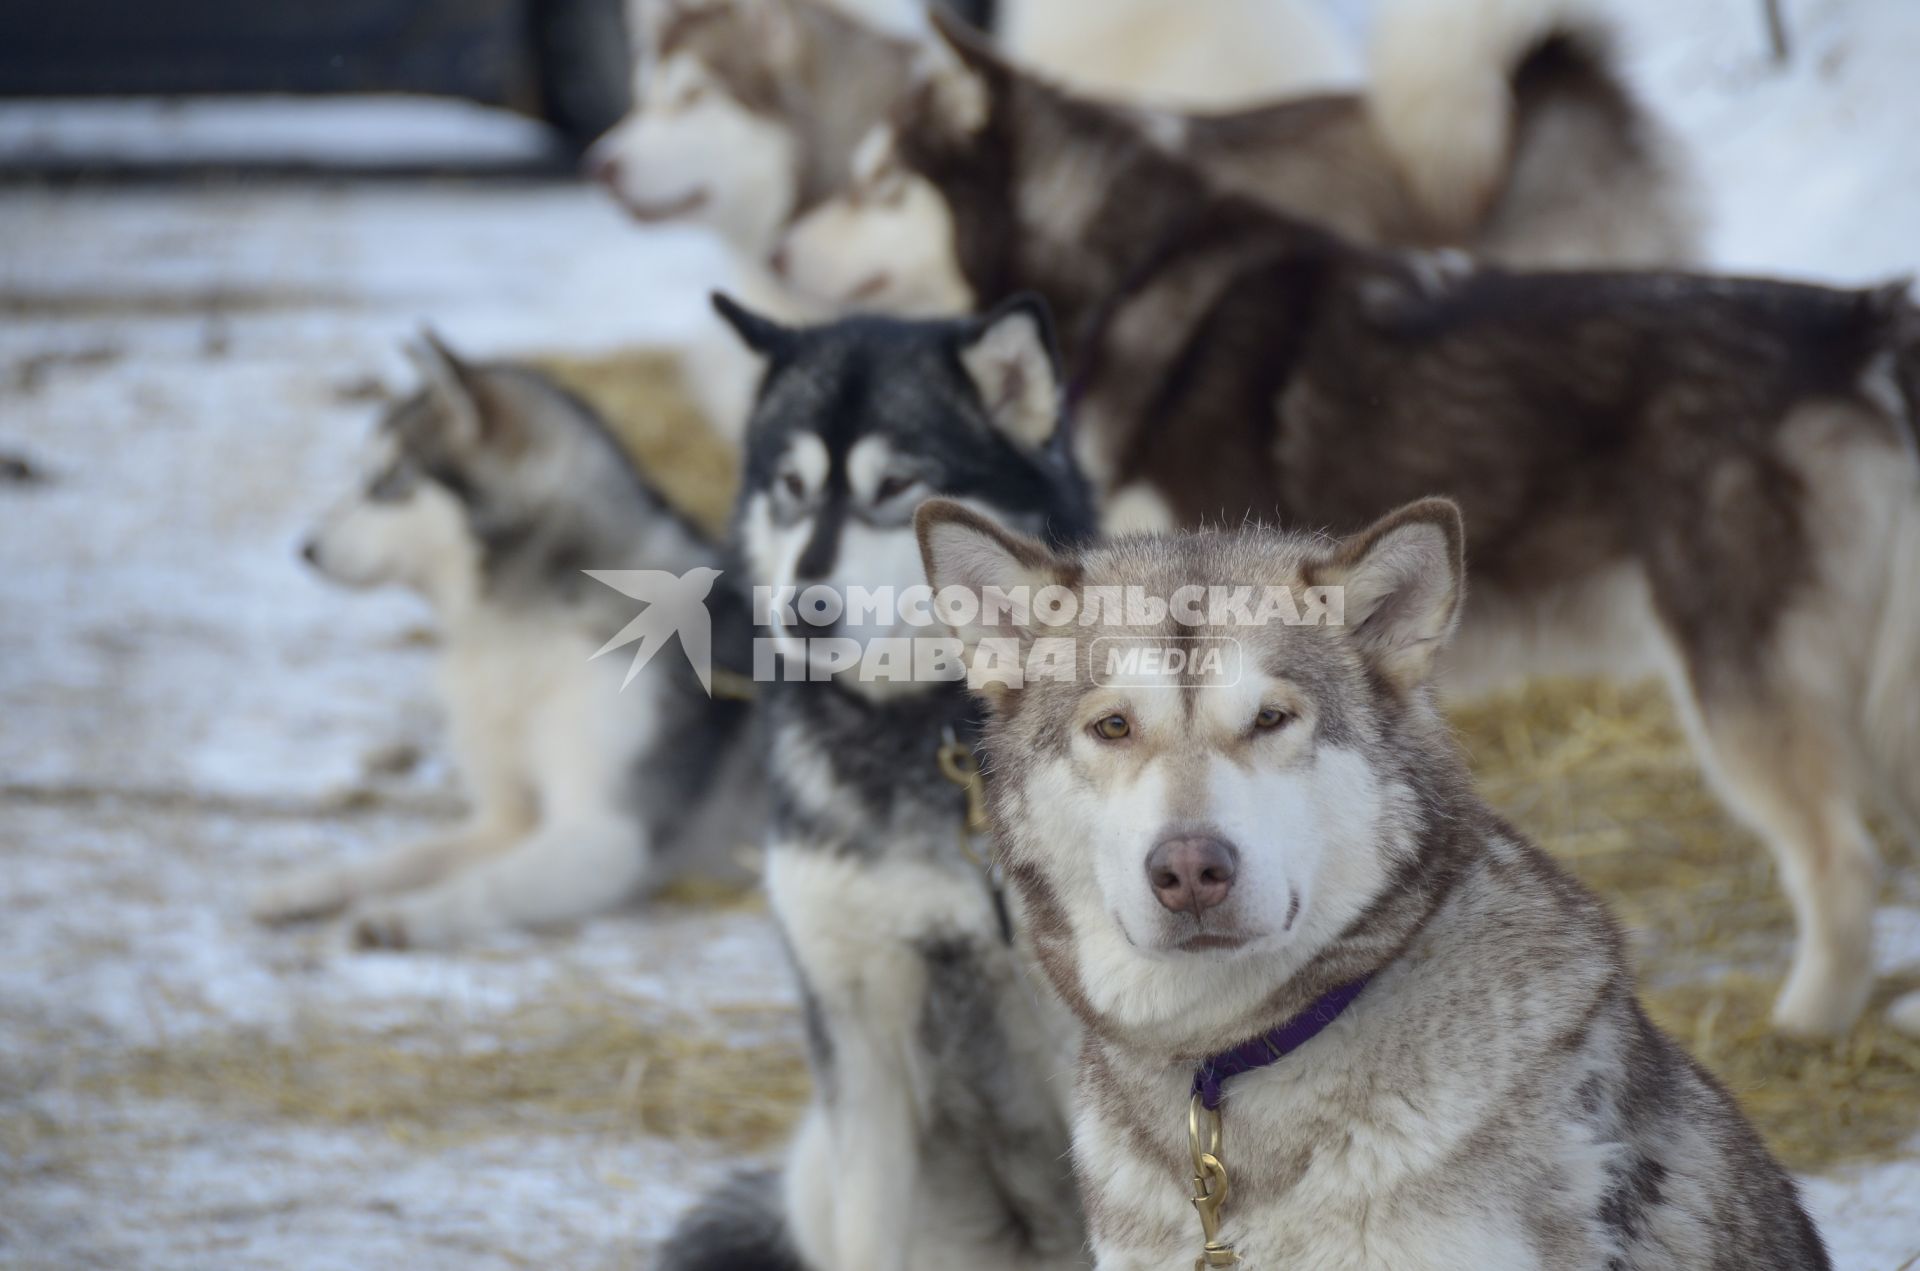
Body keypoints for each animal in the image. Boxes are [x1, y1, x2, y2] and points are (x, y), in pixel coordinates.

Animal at [251, 337, 760, 956]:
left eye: (388, 481)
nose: (306, 548)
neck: (523, 628)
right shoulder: (505, 823)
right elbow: (406, 857)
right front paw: (307, 887)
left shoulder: (608, 835)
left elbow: (486, 884)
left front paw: (403, 915)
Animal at [660, 293, 1105, 1267]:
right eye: (790, 485)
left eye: (896, 484)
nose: (803, 610)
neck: (922, 738)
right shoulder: (856, 1033)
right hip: (818, 1168)